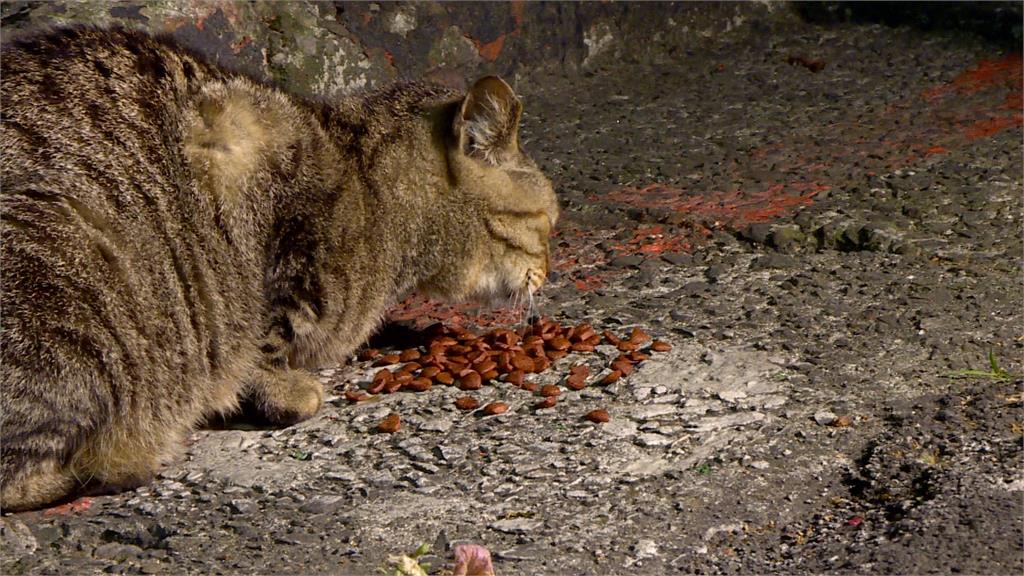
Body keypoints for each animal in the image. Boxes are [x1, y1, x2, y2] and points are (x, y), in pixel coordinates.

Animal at [0, 25, 561, 510]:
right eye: (550, 223)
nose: (548, 274)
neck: (373, 192)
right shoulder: (287, 242)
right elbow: (262, 343)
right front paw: (288, 391)